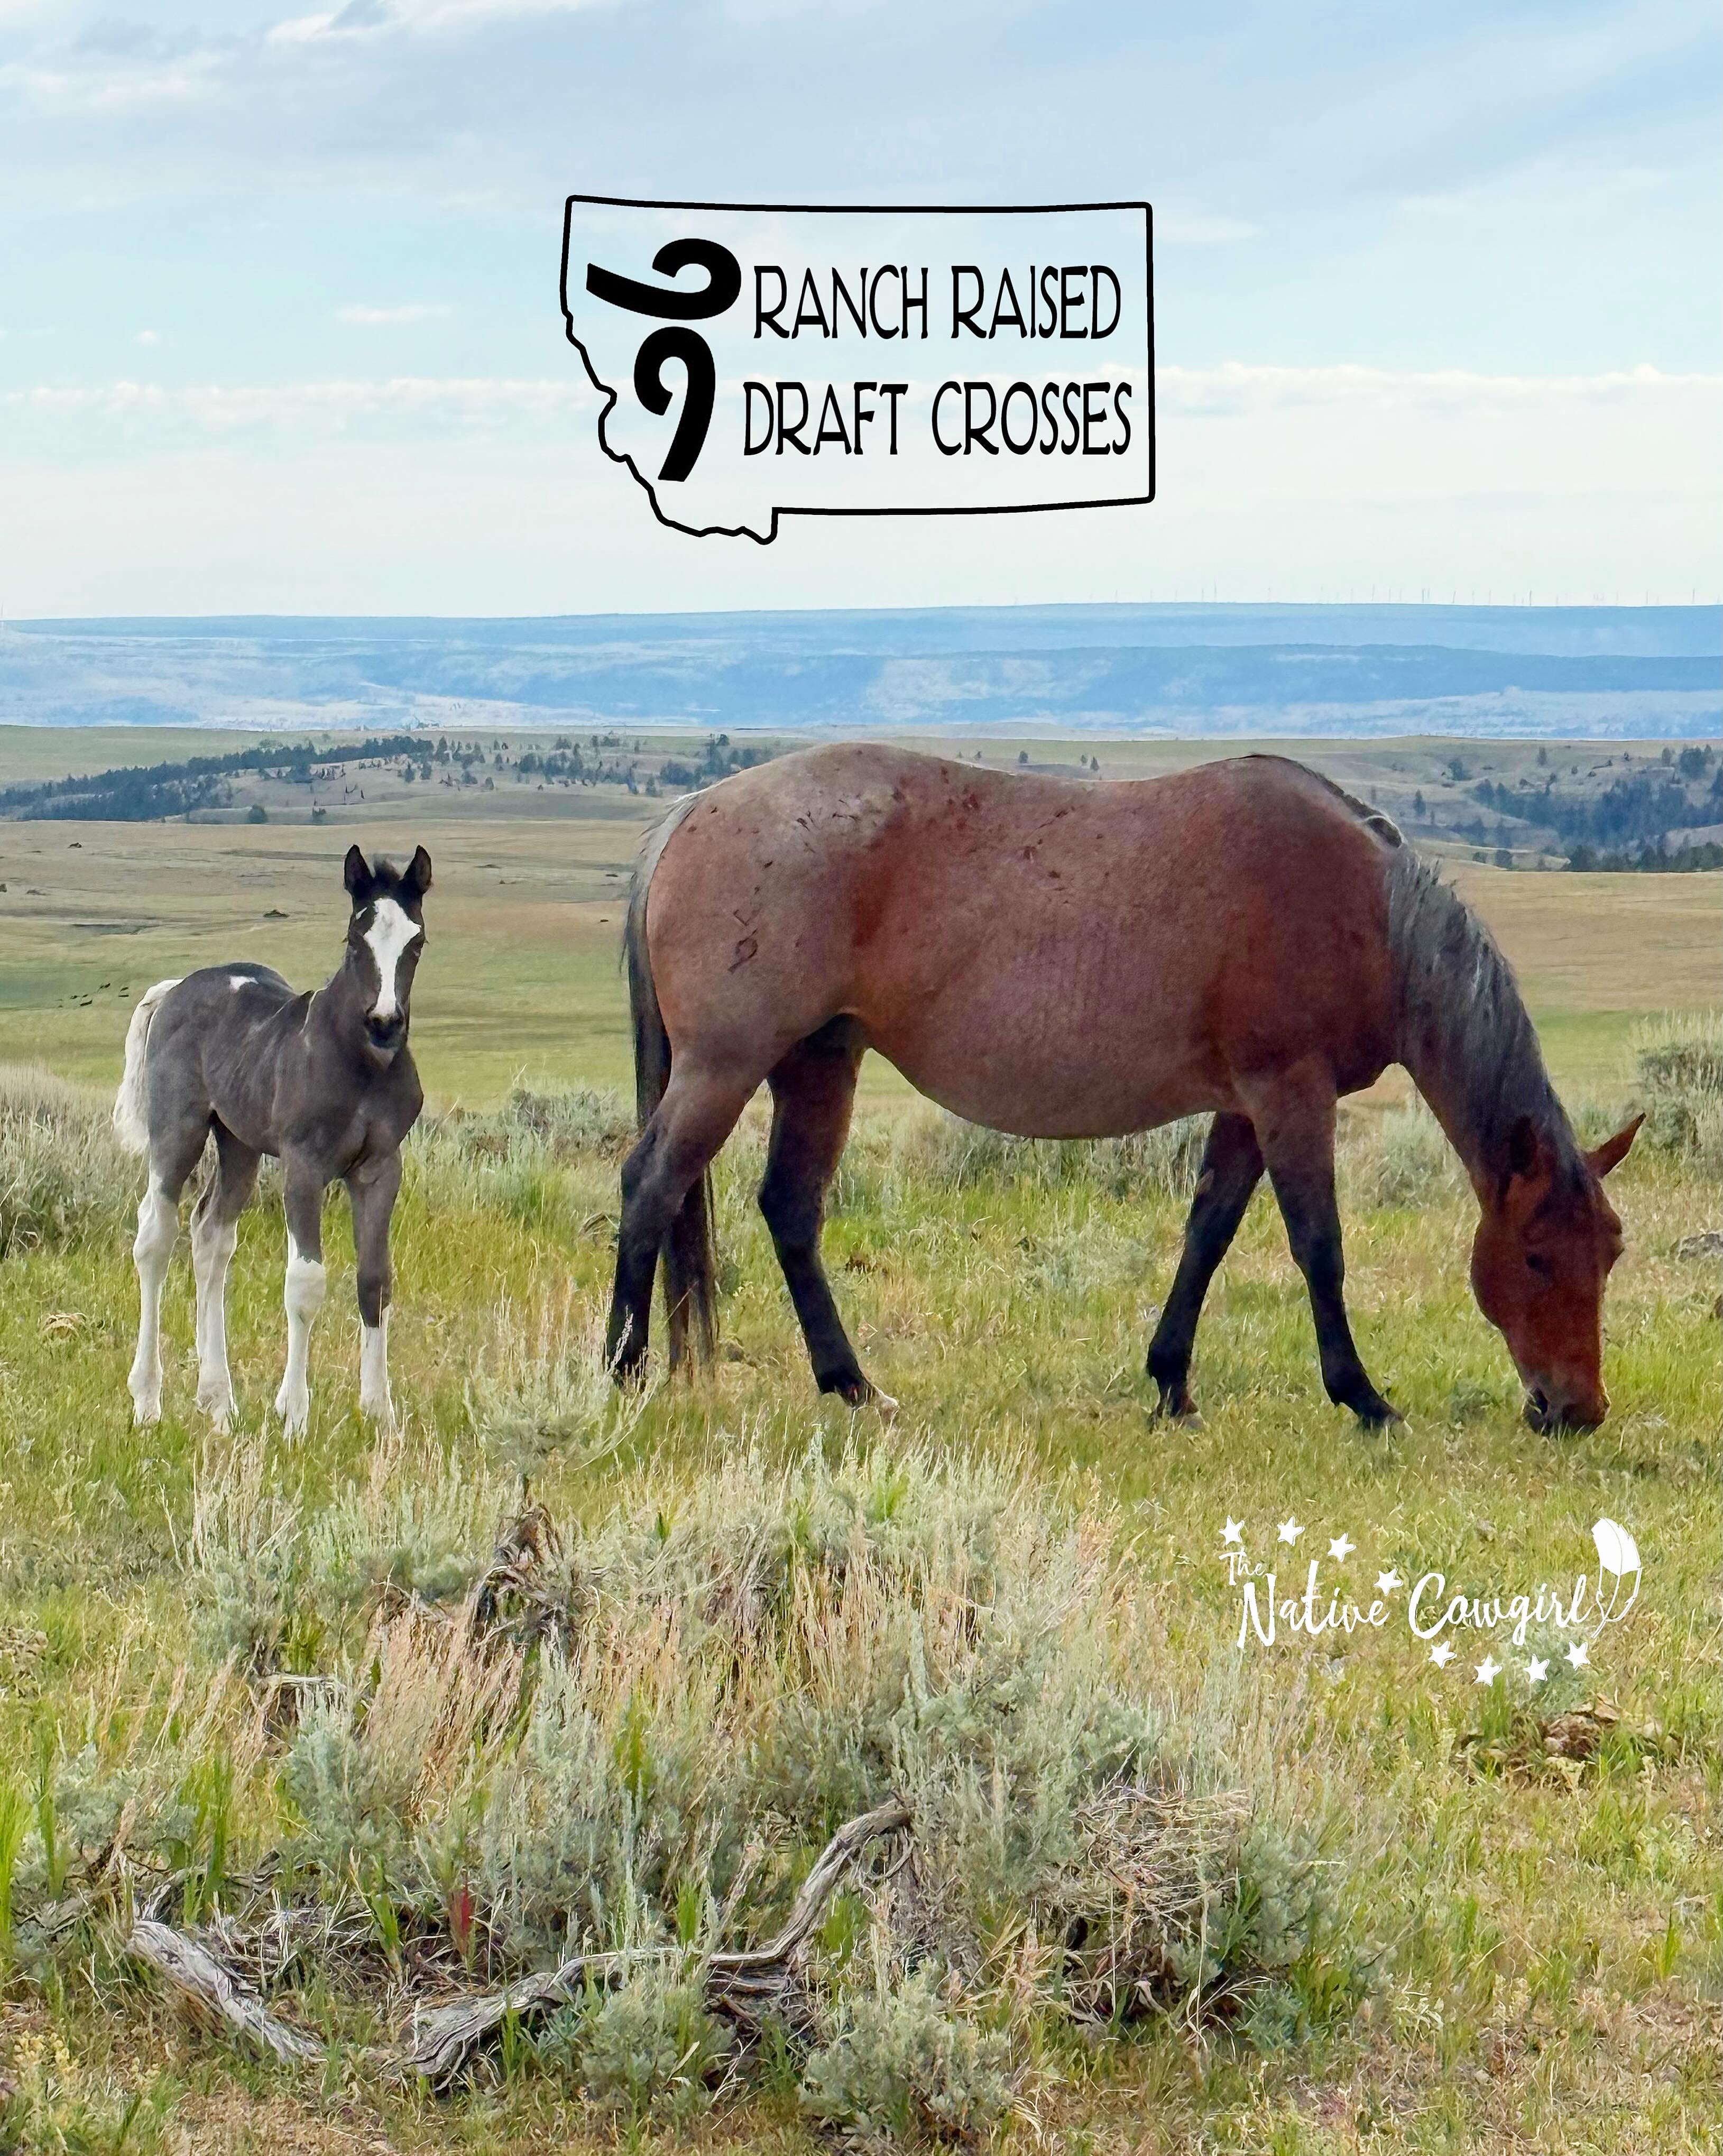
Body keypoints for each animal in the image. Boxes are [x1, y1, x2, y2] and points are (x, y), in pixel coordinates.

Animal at [112, 845, 431, 1435]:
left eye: (416, 942)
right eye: (354, 939)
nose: (383, 1022)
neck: (358, 1063)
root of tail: (176, 989)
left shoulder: (380, 1168)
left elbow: (376, 1282)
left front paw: (381, 1412)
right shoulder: (304, 1167)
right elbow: (305, 1285)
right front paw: (295, 1415)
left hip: (237, 1143)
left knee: (211, 1235)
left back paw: (218, 1399)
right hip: (179, 1130)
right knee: (156, 1238)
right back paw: (147, 1400)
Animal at [605, 746, 1641, 1433]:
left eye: (1609, 1252)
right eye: (1536, 1257)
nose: (1575, 1408)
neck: (1368, 915)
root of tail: (691, 811)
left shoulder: (1243, 1106)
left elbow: (1207, 1233)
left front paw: (1170, 1383)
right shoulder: (1289, 1092)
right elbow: (1318, 1246)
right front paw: (1362, 1396)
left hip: (818, 1061)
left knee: (789, 1207)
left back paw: (853, 1384)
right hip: (725, 1065)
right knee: (650, 1184)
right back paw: (621, 1369)